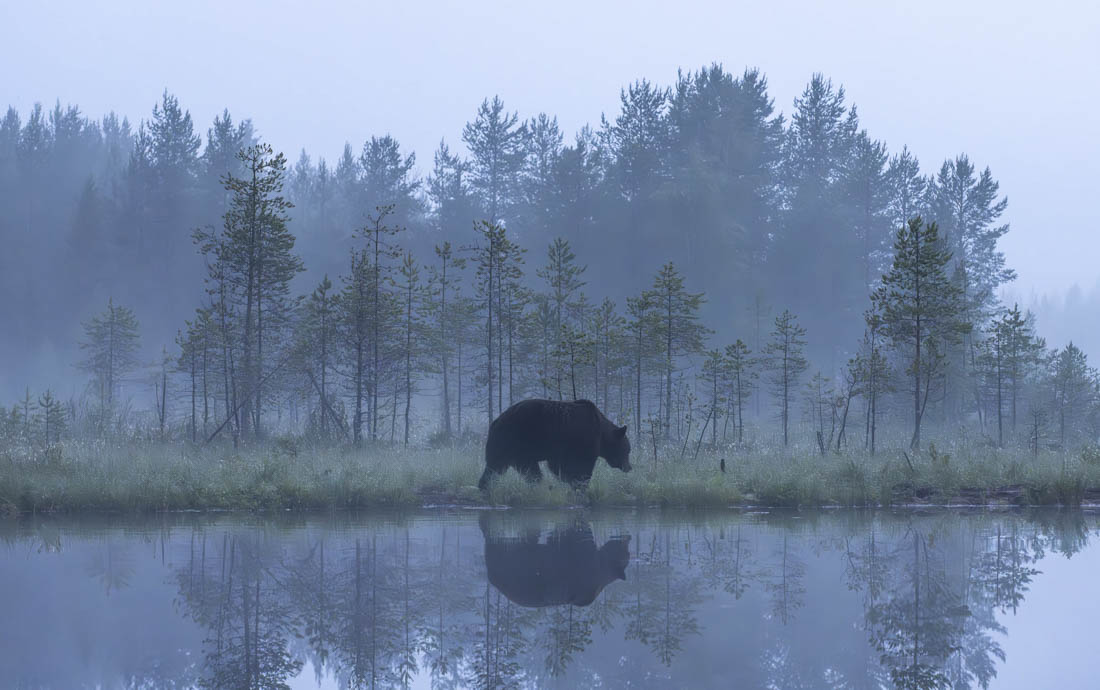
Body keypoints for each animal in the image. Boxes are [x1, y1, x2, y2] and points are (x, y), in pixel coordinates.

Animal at [477, 400, 633, 490]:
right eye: (628, 450)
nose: (629, 467)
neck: (602, 435)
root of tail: (496, 421)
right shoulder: (582, 442)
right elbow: (581, 466)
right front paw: (579, 484)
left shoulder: (562, 449)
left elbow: (559, 466)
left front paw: (570, 481)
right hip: (516, 440)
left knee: (497, 467)